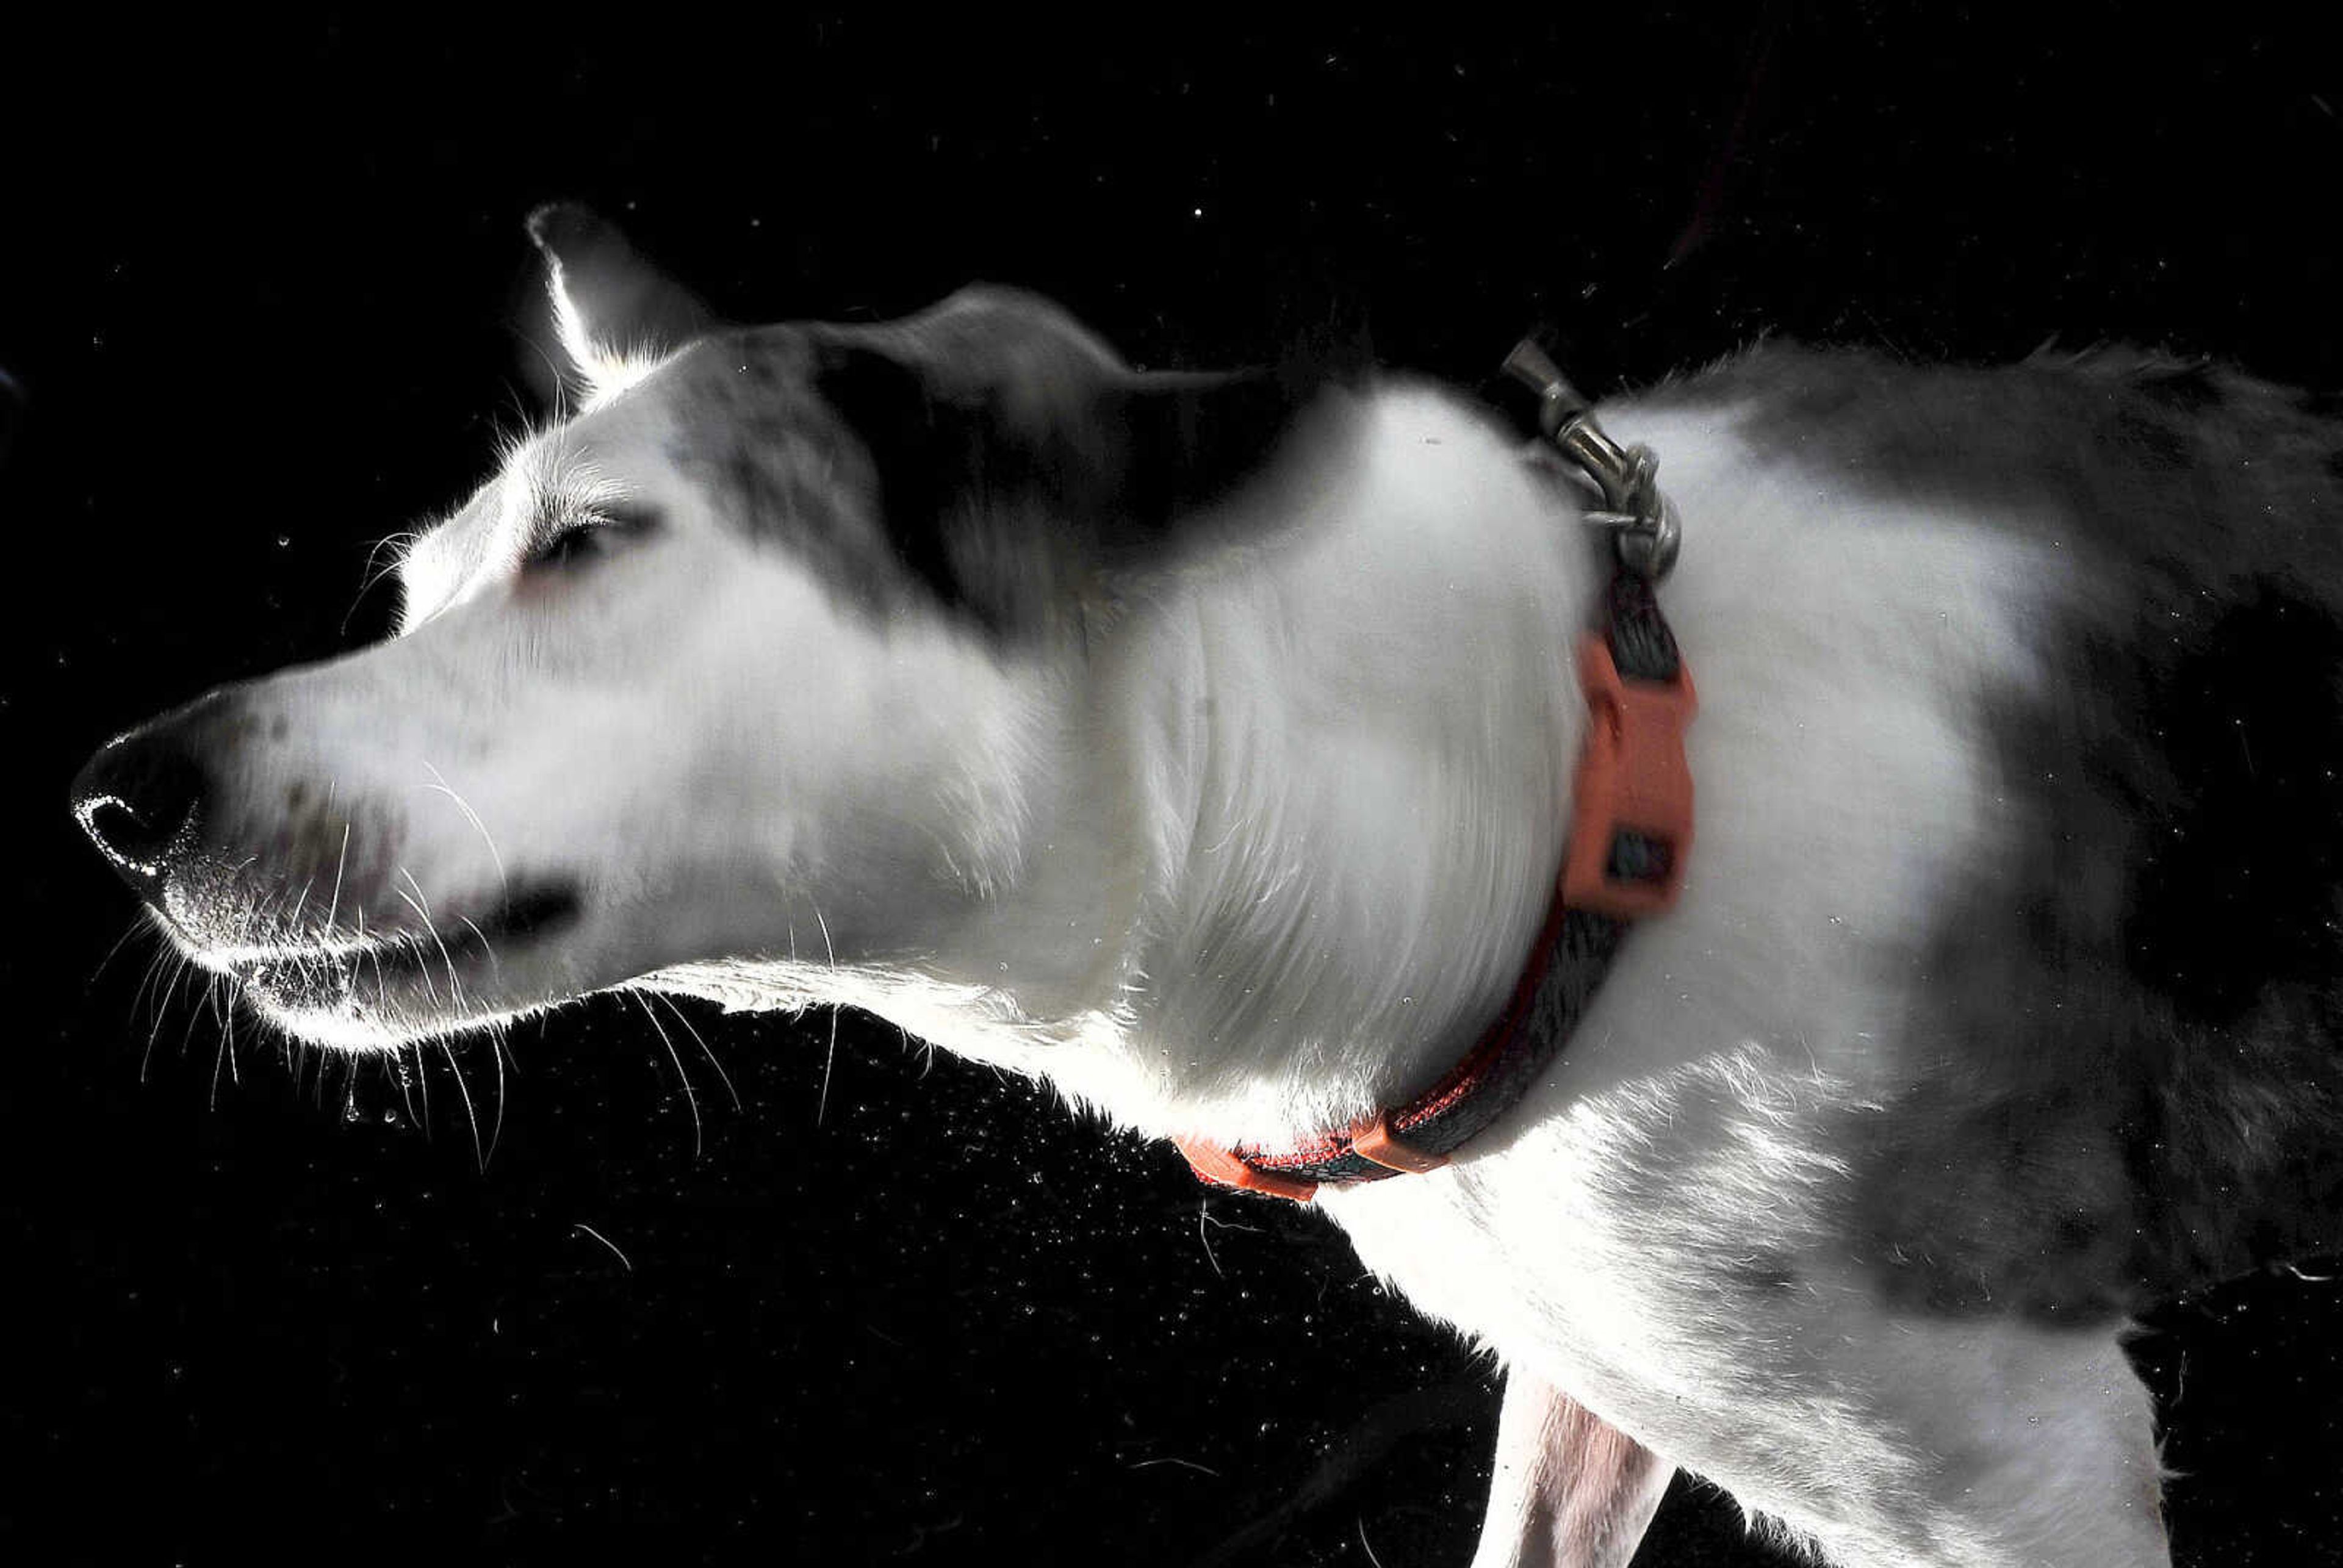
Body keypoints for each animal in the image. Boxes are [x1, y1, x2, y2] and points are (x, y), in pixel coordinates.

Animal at [68, 207, 2343, 1566]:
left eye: (591, 547)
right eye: (415, 588)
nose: (118, 799)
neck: (1555, 790)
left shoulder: (2016, 1480)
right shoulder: (1599, 1376)